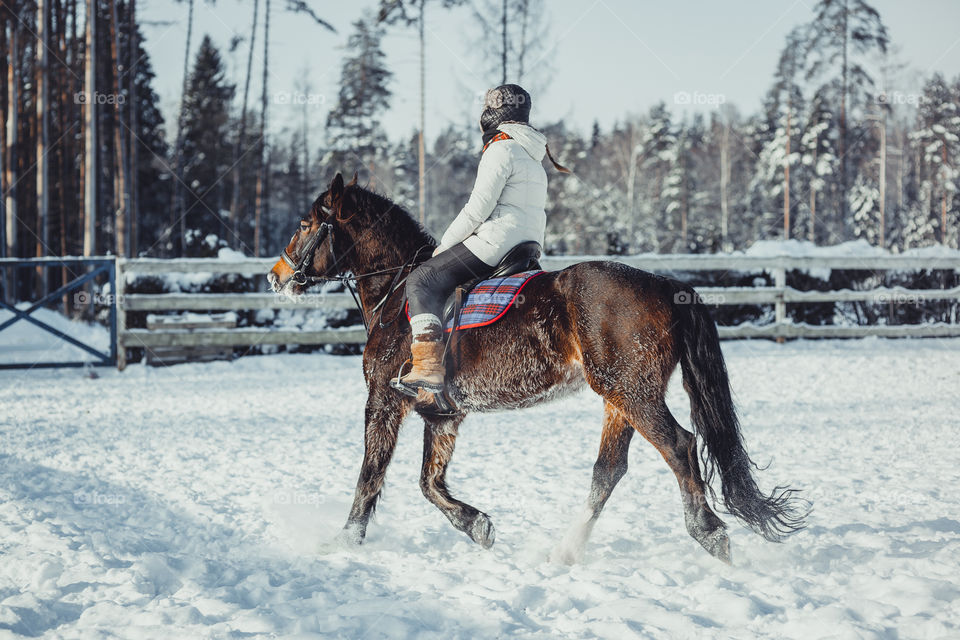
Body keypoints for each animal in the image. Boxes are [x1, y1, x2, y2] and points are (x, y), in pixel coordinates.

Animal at [266, 172, 808, 564]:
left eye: (307, 224)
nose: (276, 277)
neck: (397, 292)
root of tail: (663, 284)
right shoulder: (443, 415)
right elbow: (429, 483)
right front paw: (478, 526)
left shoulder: (383, 400)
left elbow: (370, 476)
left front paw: (343, 544)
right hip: (619, 396)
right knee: (608, 470)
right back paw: (565, 551)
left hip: (633, 393)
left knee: (678, 446)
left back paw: (710, 535)